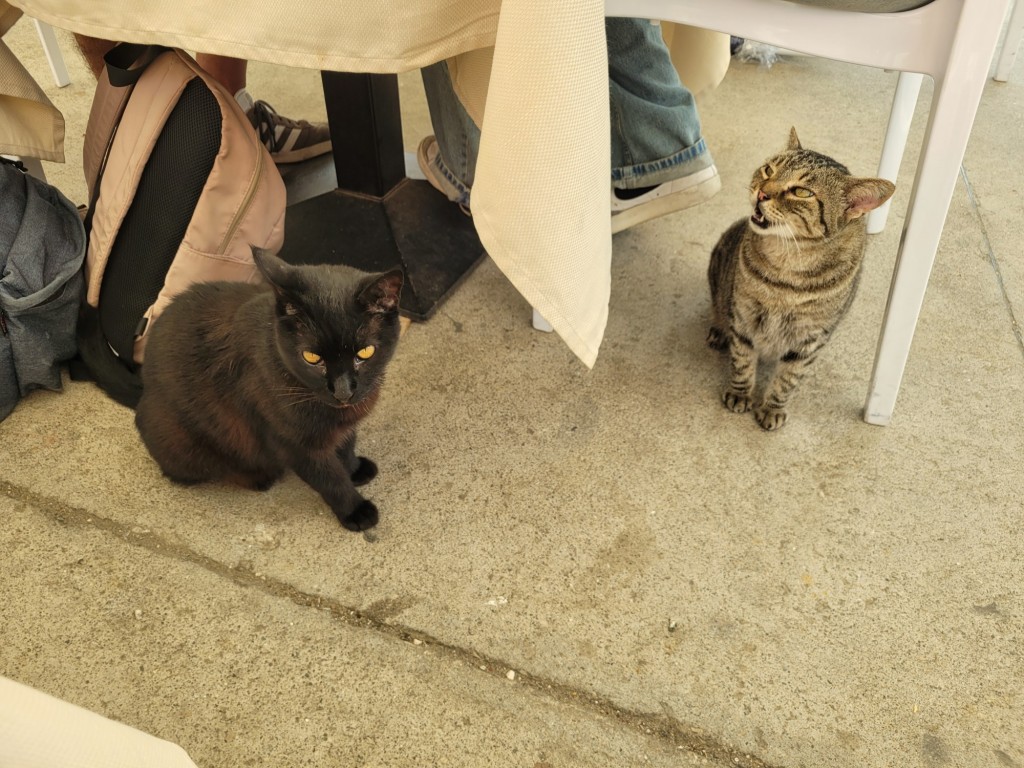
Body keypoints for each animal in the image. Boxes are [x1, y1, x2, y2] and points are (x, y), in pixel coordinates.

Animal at [133, 249, 407, 532]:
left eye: (365, 353)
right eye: (312, 357)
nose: (342, 392)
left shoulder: (342, 425)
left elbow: (346, 446)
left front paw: (354, 469)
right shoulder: (295, 445)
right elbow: (329, 479)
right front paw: (355, 510)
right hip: (185, 443)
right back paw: (258, 477)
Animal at [708, 132, 892, 434]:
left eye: (802, 192)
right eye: (769, 170)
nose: (762, 192)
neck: (787, 273)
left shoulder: (809, 340)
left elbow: (787, 380)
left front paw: (772, 408)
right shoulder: (744, 317)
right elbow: (742, 360)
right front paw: (740, 393)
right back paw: (719, 330)